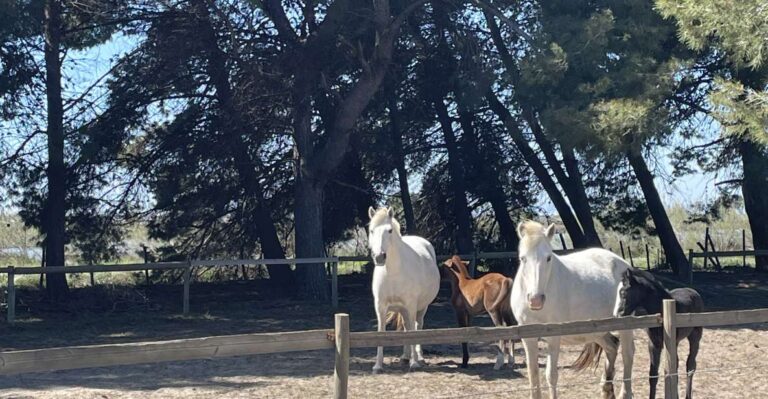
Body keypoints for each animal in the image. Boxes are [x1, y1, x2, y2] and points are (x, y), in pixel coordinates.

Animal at [368, 208, 440, 374]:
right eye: (371, 230)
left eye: (389, 230)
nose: (379, 257)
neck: (393, 272)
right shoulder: (380, 307)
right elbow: (381, 332)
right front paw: (378, 365)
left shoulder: (411, 305)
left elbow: (413, 331)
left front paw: (415, 363)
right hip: (403, 309)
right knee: (407, 326)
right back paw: (405, 357)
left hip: (421, 307)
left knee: (417, 326)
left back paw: (419, 357)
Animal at [512, 222, 632, 399]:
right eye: (522, 258)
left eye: (548, 258)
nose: (535, 299)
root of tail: (624, 264)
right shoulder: (528, 338)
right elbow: (533, 376)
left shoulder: (554, 337)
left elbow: (551, 375)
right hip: (597, 331)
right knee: (611, 347)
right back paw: (606, 389)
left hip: (626, 326)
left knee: (627, 356)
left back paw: (625, 393)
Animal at [616, 268, 704, 399]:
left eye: (623, 293)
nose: (618, 314)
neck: (661, 310)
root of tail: (693, 291)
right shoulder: (654, 344)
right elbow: (653, 375)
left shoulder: (670, 343)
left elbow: (672, 369)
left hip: (695, 337)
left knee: (690, 365)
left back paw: (687, 395)